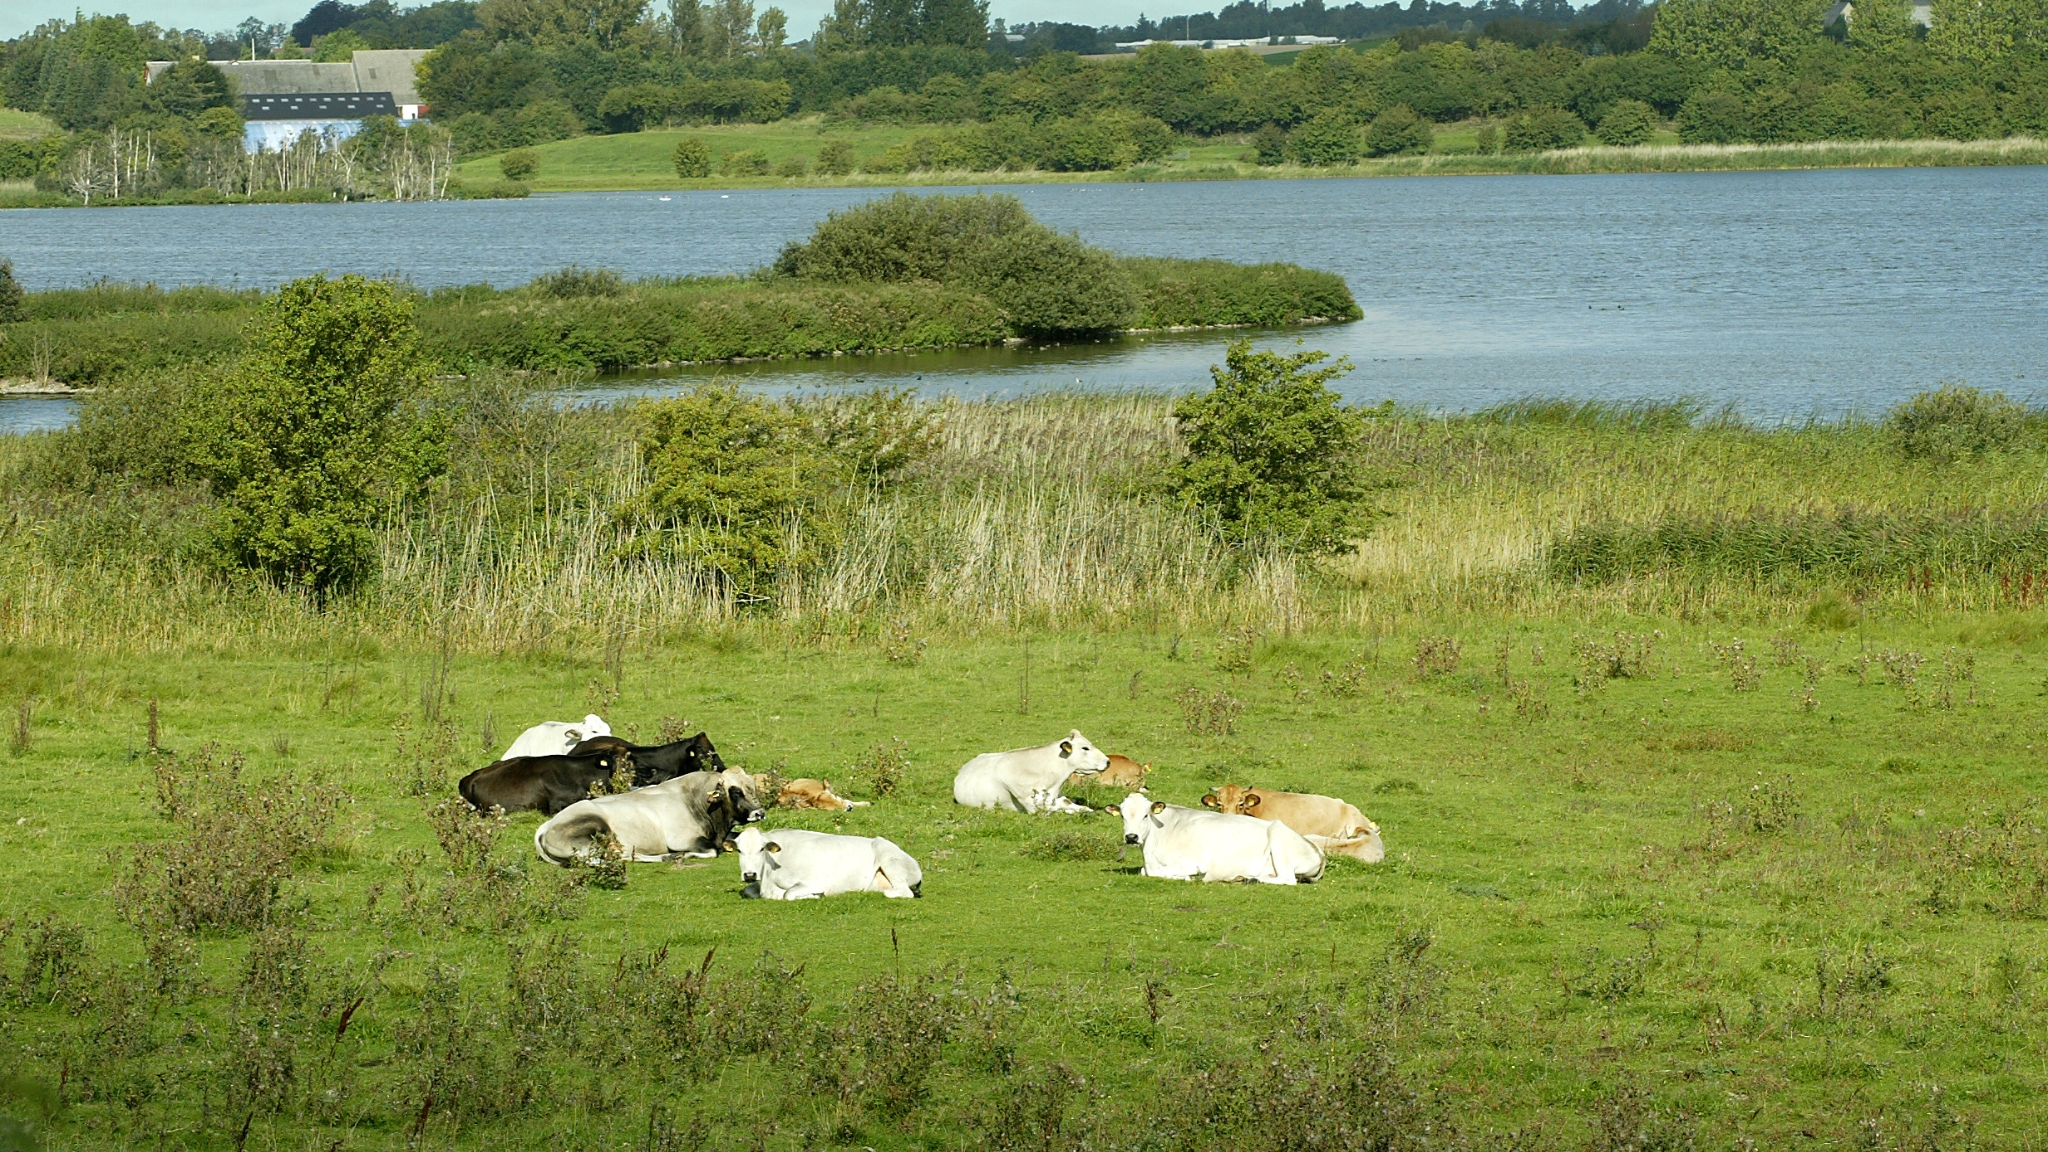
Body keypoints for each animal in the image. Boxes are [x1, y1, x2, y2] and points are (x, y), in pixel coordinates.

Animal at [534, 768, 765, 865]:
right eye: (735, 791)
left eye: (752, 787)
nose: (760, 812)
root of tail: (548, 825)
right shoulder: (681, 839)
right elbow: (711, 851)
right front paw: (686, 855)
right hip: (595, 833)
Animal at [727, 826, 921, 900]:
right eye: (739, 850)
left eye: (762, 849)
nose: (750, 874)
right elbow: (748, 891)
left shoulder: (814, 882)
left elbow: (788, 893)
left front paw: (813, 896)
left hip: (889, 858)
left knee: (903, 892)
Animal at [1110, 791, 1324, 884]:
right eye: (1123, 816)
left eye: (1146, 815)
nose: (1131, 837)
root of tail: (1318, 851)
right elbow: (1145, 872)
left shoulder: (1194, 862)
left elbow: (1162, 873)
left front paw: (1188, 877)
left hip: (1278, 838)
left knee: (1287, 879)